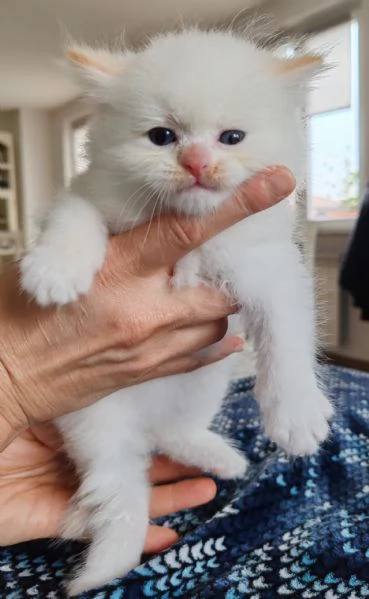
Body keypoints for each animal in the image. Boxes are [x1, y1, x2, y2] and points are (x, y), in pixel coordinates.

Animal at [18, 30, 332, 596]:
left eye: (231, 137)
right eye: (162, 136)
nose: (197, 162)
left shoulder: (273, 268)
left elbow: (287, 336)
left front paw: (295, 413)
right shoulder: (87, 195)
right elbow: (74, 218)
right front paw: (55, 271)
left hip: (204, 379)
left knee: (172, 434)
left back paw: (221, 457)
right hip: (92, 414)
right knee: (117, 478)